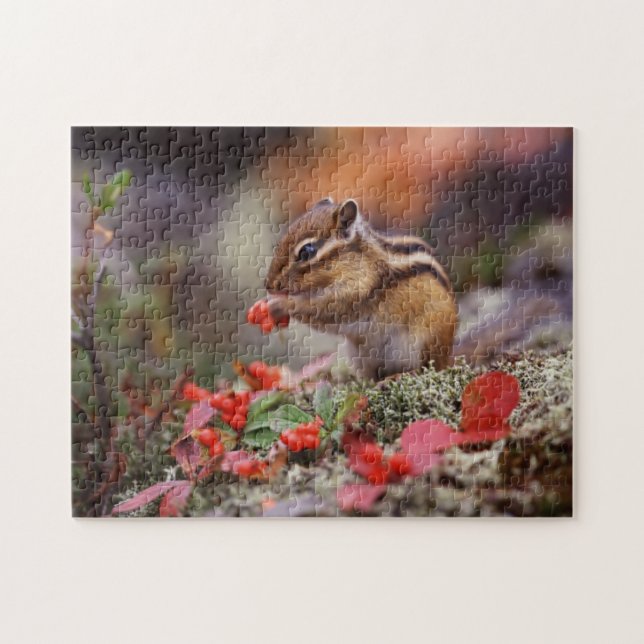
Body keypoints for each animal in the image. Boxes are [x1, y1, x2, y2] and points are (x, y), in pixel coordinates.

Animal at [265, 198, 457, 380]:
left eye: (306, 252)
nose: (269, 285)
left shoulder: (357, 290)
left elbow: (321, 308)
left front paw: (281, 304)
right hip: (358, 355)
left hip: (425, 341)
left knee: (427, 369)